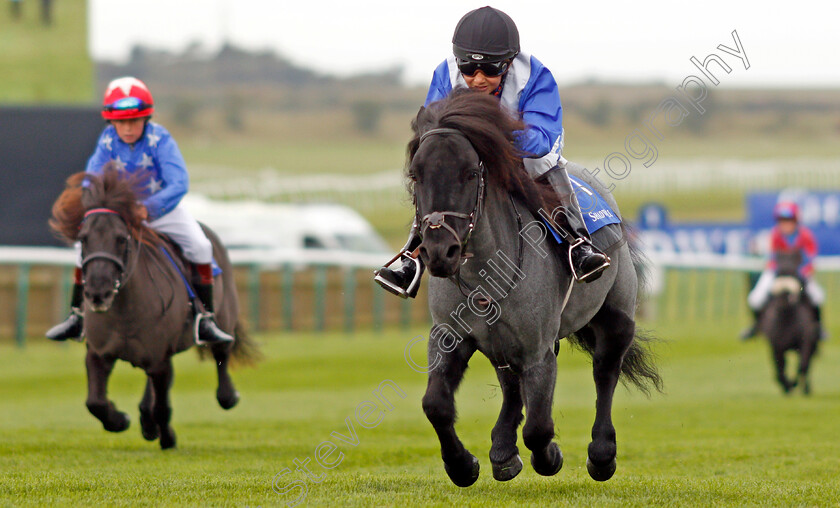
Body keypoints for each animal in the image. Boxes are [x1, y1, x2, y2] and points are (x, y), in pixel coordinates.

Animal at [51, 168, 256, 448]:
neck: (125, 311)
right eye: (83, 239)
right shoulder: (99, 353)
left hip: (225, 316)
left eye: (121, 239)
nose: (97, 293)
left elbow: (162, 407)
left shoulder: (160, 359)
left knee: (221, 353)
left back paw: (227, 394)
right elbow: (95, 402)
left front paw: (167, 436)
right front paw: (120, 420)